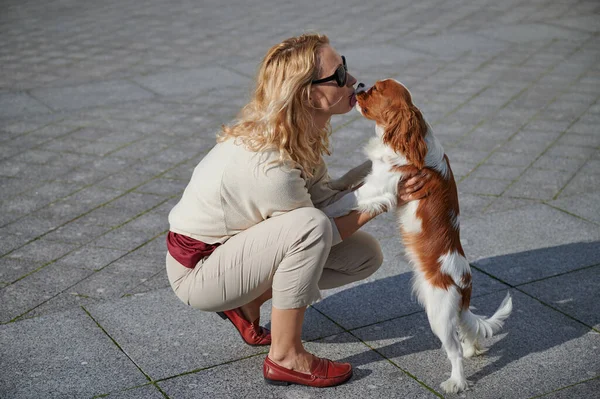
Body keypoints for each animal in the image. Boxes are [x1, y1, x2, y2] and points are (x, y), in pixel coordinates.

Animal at [326, 79, 512, 394]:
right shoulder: (376, 174)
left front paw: (322, 209)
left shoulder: (380, 187)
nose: (360, 83)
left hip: (438, 313)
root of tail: (464, 283)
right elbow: (356, 175)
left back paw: (456, 382)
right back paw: (473, 350)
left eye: (375, 90)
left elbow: (347, 199)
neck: (411, 138)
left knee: (454, 351)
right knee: (467, 333)